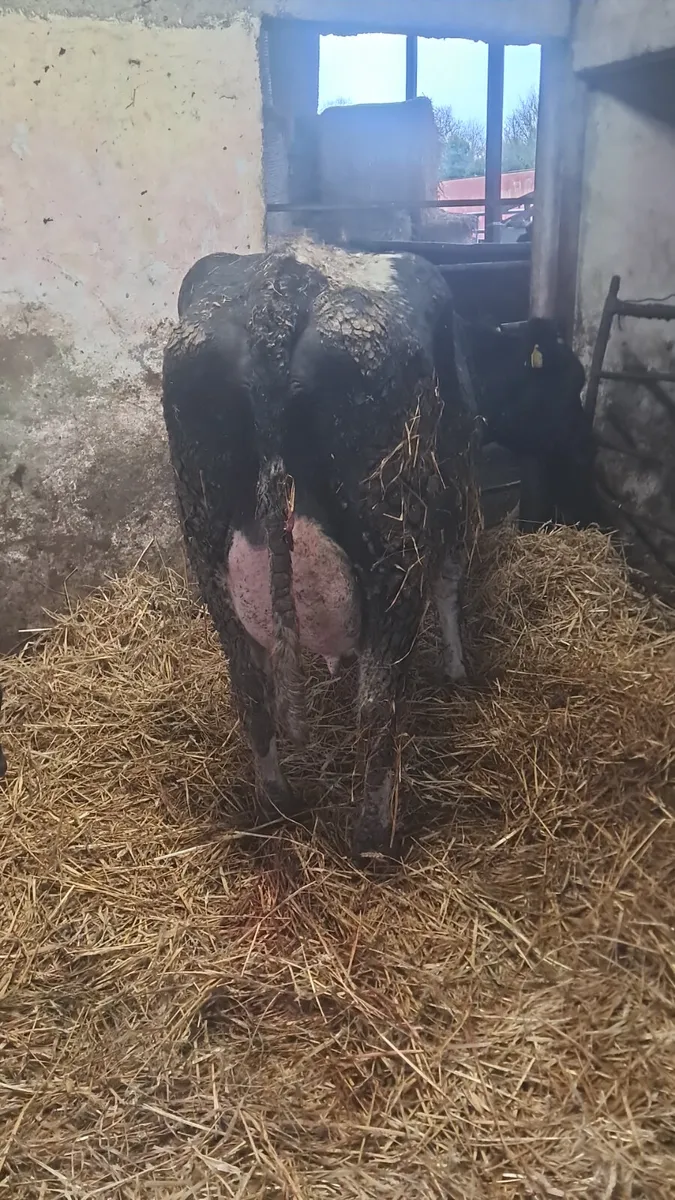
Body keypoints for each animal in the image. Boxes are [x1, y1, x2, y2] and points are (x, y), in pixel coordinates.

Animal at [162, 240, 479, 859]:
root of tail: (283, 289)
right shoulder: (453, 480)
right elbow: (451, 582)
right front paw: (456, 669)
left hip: (202, 532)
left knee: (250, 688)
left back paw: (279, 801)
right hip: (393, 542)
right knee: (378, 705)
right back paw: (374, 838)